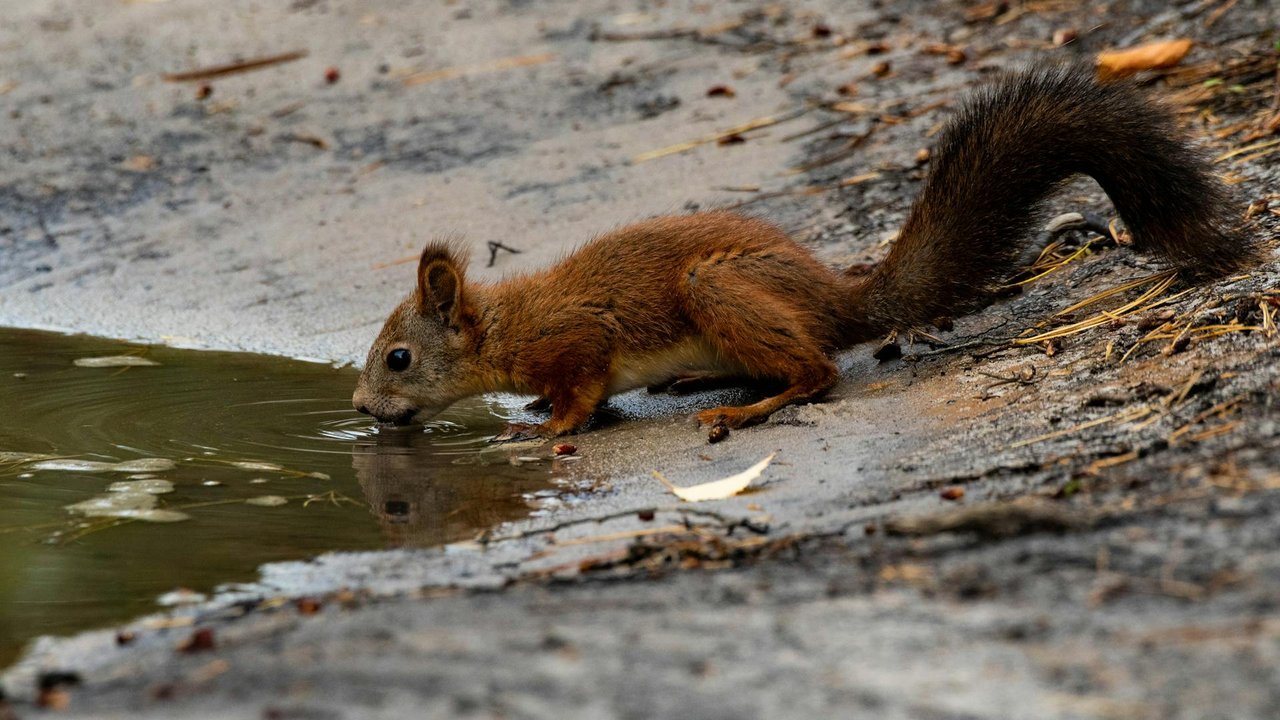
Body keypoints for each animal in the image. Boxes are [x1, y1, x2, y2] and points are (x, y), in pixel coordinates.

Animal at [355, 67, 1254, 438]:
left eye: (398, 358)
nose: (361, 411)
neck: (505, 328)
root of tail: (840, 296)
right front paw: (538, 414)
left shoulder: (577, 341)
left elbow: (583, 392)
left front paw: (546, 428)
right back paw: (710, 381)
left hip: (716, 288)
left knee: (817, 372)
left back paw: (745, 409)